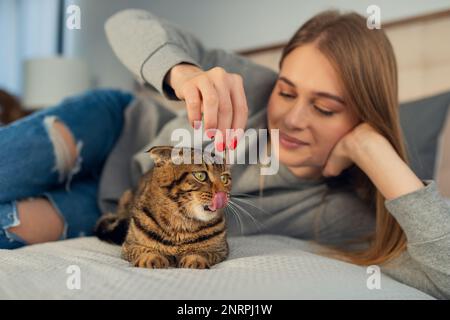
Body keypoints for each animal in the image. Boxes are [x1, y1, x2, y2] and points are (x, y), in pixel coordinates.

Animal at [93, 146, 230, 268]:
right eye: (201, 175)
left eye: (224, 179)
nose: (223, 194)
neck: (181, 225)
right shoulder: (129, 246)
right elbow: (146, 250)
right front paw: (150, 257)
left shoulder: (220, 250)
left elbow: (202, 252)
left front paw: (195, 259)